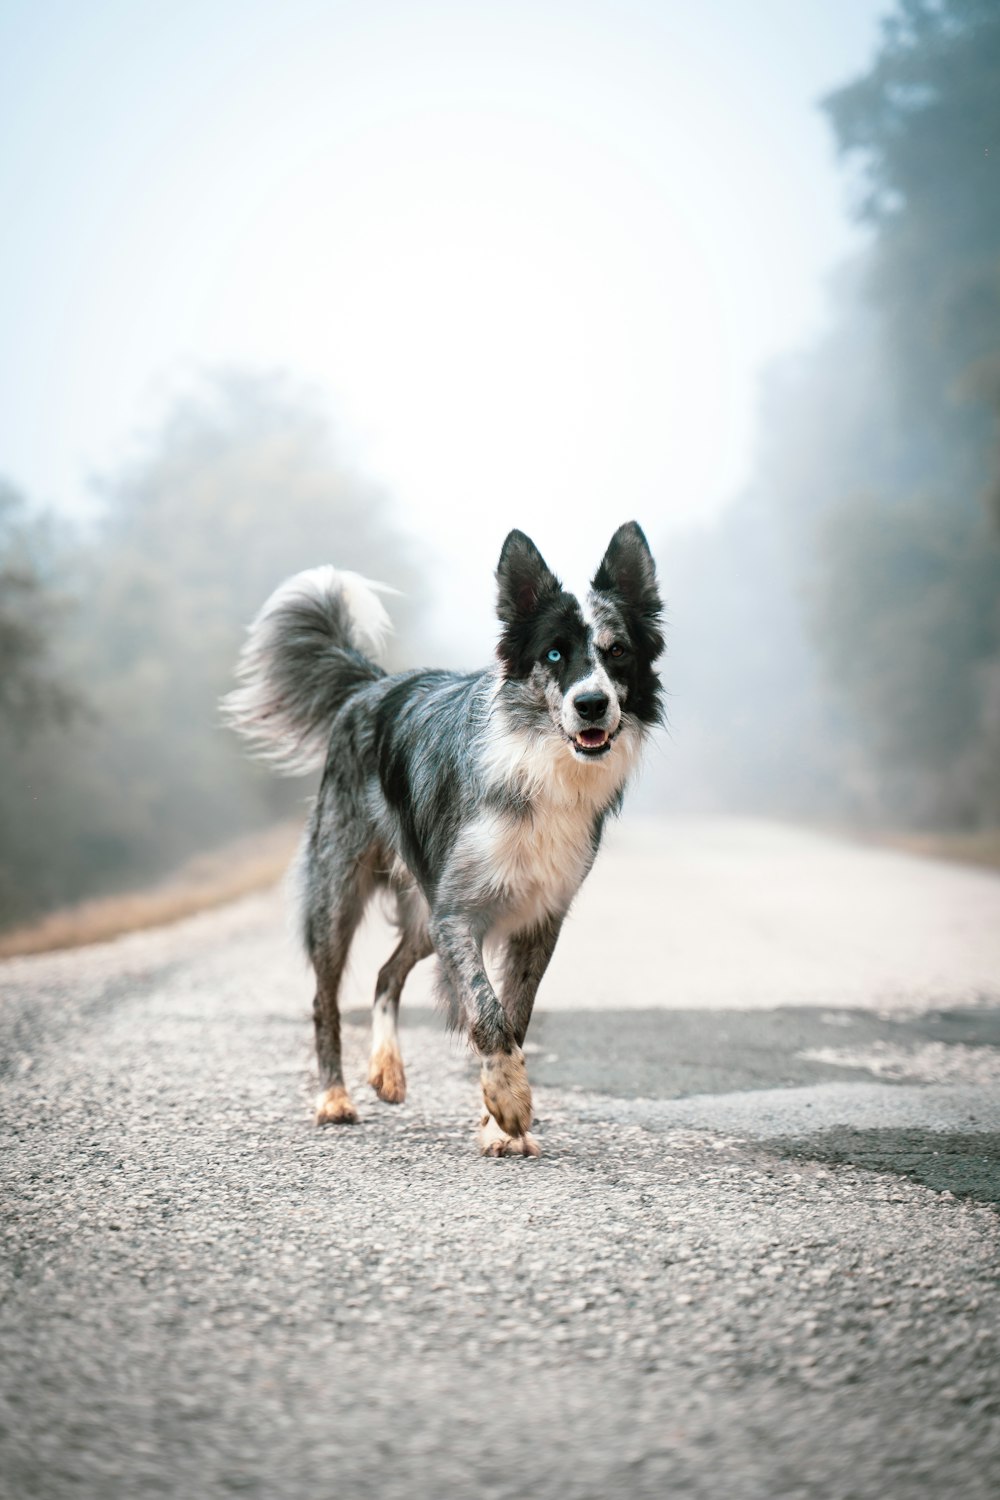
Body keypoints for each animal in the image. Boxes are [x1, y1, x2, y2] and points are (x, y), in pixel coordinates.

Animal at [224, 522, 665, 1152]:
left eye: (617, 651)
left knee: (386, 974)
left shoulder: (538, 917)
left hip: (423, 913)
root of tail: (373, 685)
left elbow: (516, 1014)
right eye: (554, 654)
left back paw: (386, 1070)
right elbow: (486, 1010)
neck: (539, 762)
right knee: (324, 997)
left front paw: (499, 1125)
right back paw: (334, 1098)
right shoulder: (459, 913)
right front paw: (508, 1103)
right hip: (341, 891)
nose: (591, 704)